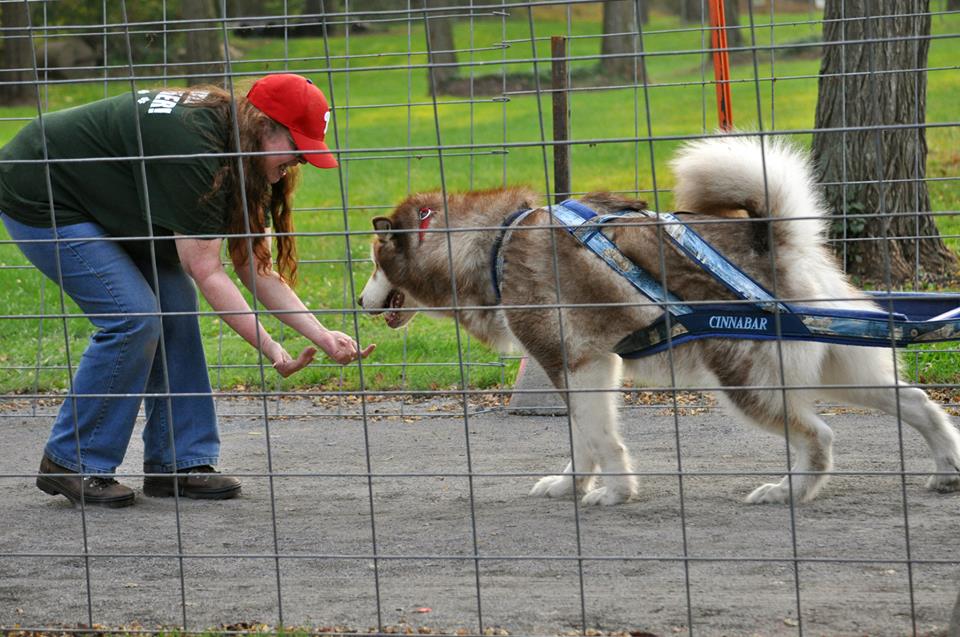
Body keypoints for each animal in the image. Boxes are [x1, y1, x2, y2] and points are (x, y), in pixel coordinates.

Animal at [358, 137, 960, 504]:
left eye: (373, 261)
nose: (359, 304)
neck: (497, 242)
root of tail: (778, 241)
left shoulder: (578, 366)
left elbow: (602, 440)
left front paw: (615, 492)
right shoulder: (588, 368)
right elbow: (584, 439)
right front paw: (573, 485)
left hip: (748, 385)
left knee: (821, 437)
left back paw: (788, 492)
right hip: (838, 365)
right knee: (918, 403)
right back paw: (946, 468)